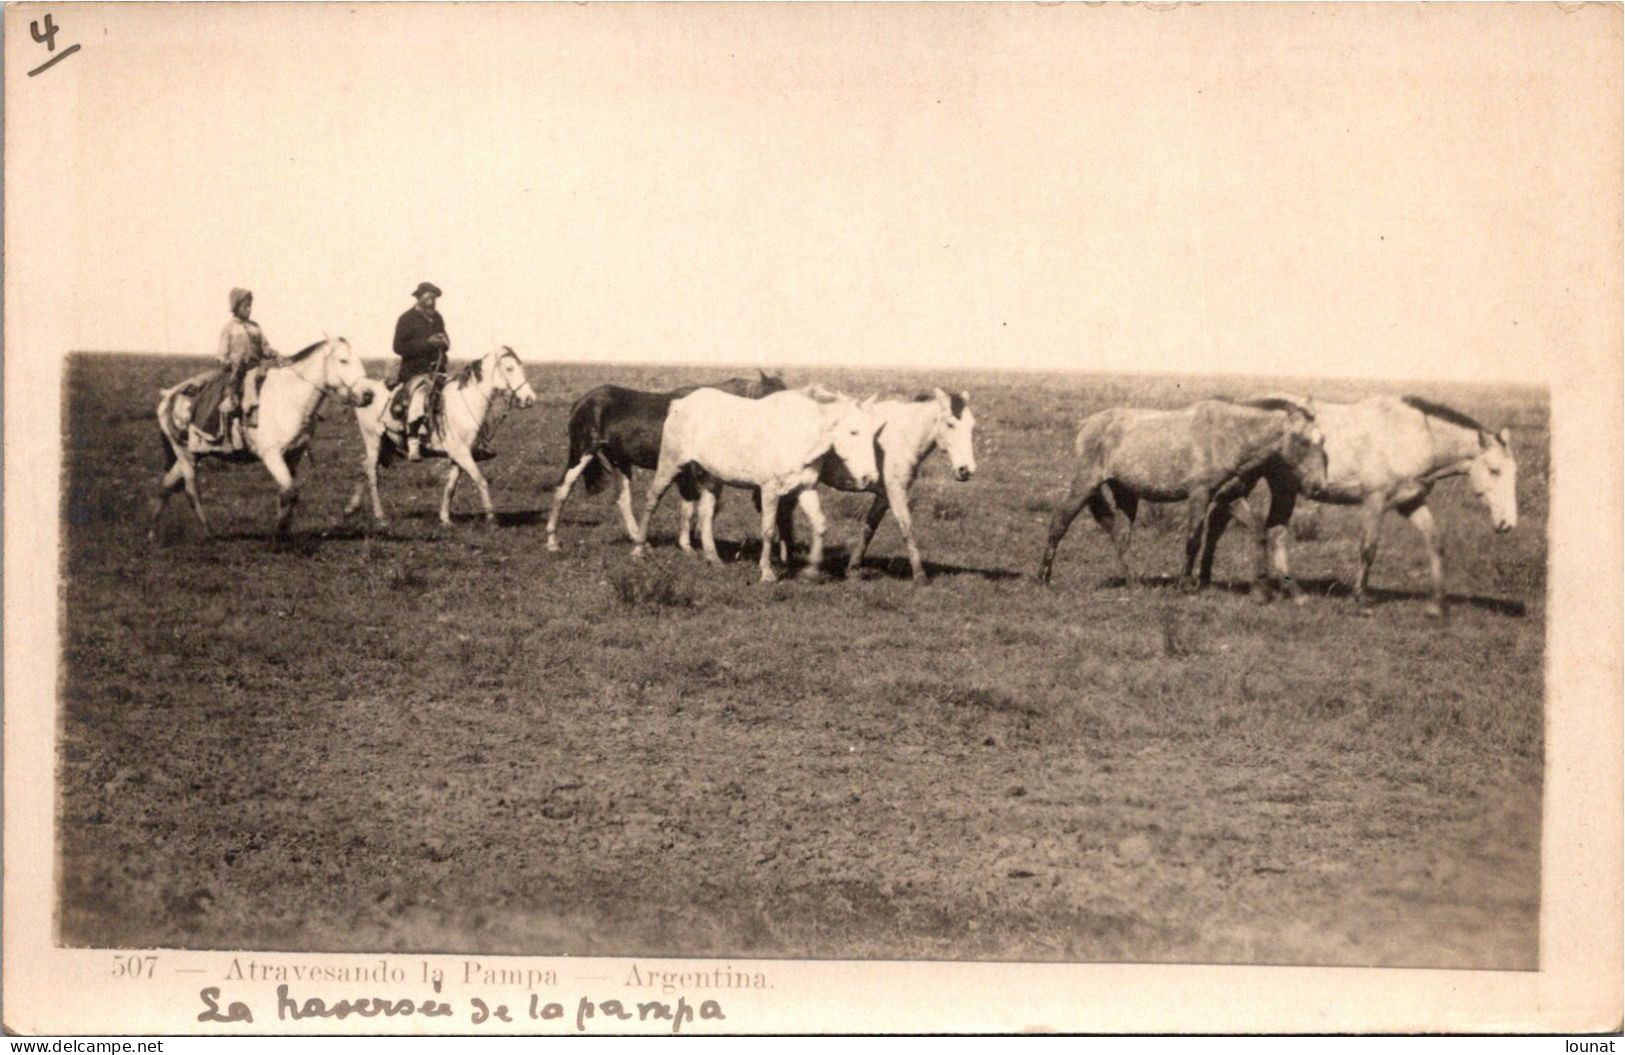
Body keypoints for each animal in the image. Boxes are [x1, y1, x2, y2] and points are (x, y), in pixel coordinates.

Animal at [346, 346, 536, 526]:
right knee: (372, 474)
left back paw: (352, 507)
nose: (529, 398)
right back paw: (380, 515)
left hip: (385, 444)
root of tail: (364, 390)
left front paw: (445, 519)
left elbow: (451, 487)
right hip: (373, 440)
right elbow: (481, 481)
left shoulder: (459, 456)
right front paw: (491, 517)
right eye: (509, 368)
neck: (464, 404)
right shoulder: (461, 453)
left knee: (364, 468)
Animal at [546, 369, 786, 552]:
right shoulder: (689, 472)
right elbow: (691, 507)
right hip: (582, 453)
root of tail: (582, 401)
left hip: (620, 461)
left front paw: (690, 543)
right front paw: (690, 546)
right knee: (562, 490)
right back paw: (552, 541)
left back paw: (640, 540)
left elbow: (690, 507)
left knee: (623, 498)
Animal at [630, 386, 884, 578]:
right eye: (853, 432)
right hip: (670, 464)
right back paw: (639, 549)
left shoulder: (806, 489)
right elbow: (769, 530)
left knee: (705, 514)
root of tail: (679, 403)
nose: (869, 477)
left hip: (713, 478)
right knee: (652, 500)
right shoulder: (769, 490)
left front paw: (811, 570)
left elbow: (820, 525)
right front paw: (767, 573)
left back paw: (713, 558)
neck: (797, 433)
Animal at [770, 388, 975, 578]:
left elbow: (869, 528)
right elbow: (906, 528)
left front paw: (853, 567)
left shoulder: (883, 497)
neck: (903, 436)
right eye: (950, 424)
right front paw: (920, 575)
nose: (966, 470)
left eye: (972, 426)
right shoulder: (896, 492)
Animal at [1222, 393, 1514, 617]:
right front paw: (1361, 600)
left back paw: (1293, 592)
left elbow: (1435, 543)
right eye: (1495, 470)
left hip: (1284, 488)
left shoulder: (1411, 502)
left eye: (1514, 473)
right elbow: (1368, 550)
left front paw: (1437, 605)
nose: (1507, 524)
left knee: (1275, 531)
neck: (1414, 437)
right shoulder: (1374, 502)